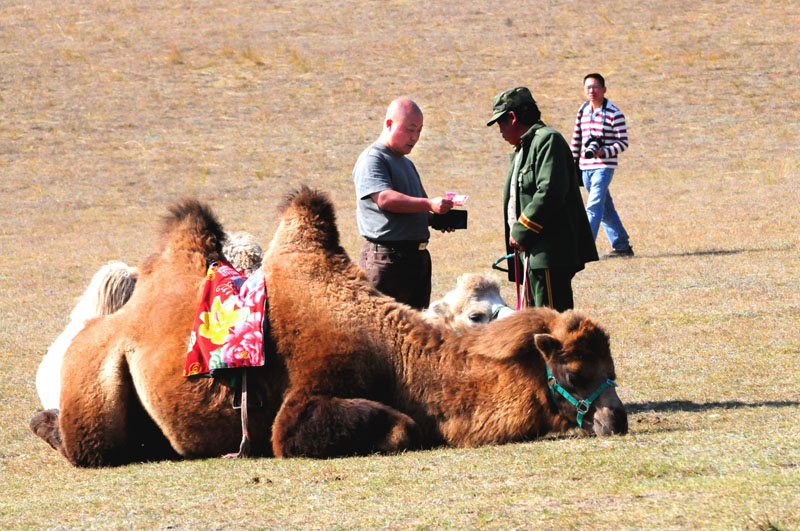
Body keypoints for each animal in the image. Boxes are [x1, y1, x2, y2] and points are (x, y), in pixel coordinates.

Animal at [31, 186, 628, 466]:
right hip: (94, 385)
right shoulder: (304, 400)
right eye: (576, 373)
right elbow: (398, 427)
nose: (616, 420)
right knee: (87, 442)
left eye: (612, 368)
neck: (401, 364)